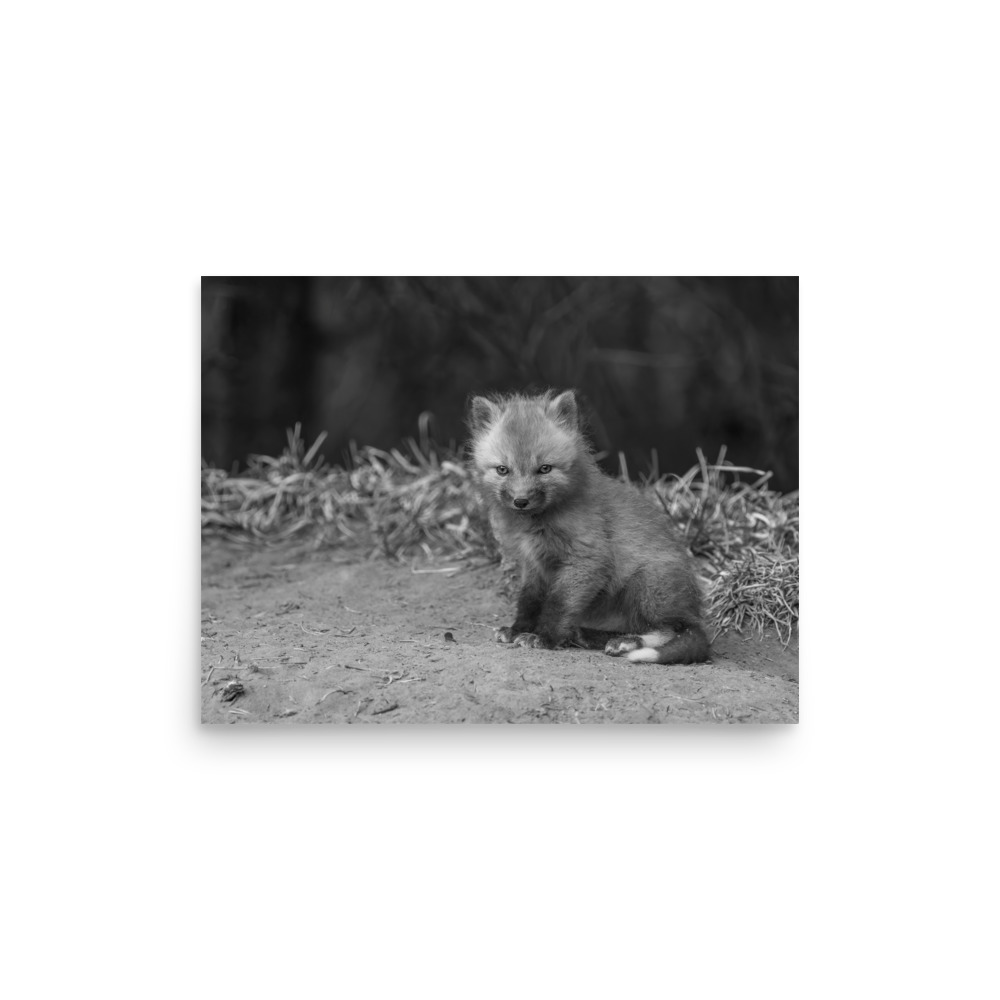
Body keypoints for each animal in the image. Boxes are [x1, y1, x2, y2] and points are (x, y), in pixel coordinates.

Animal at [467, 388, 710, 665]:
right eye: (502, 470)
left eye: (544, 469)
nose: (521, 501)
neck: (538, 525)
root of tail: (693, 608)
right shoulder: (534, 564)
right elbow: (529, 600)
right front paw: (518, 629)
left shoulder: (587, 559)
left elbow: (559, 604)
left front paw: (545, 637)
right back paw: (588, 635)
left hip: (646, 585)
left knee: (673, 629)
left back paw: (626, 643)